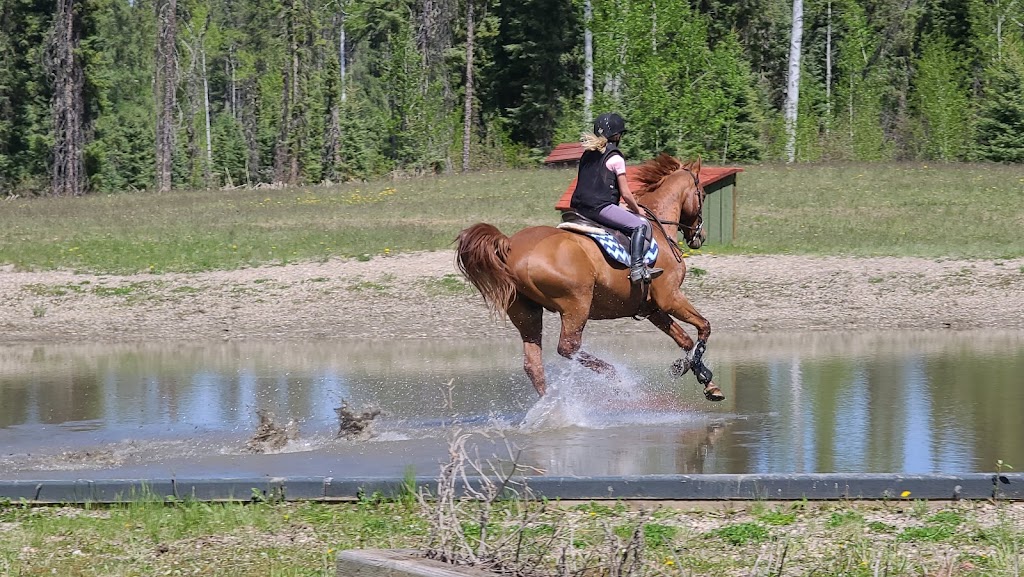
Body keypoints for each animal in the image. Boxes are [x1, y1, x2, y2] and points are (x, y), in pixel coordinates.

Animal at [456, 155, 720, 403]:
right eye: (703, 194)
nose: (701, 236)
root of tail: (510, 245)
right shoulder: (670, 297)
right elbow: (704, 328)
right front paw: (688, 368)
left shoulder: (653, 309)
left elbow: (685, 340)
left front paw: (707, 381)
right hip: (577, 304)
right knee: (568, 347)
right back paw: (615, 377)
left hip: (526, 312)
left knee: (533, 364)